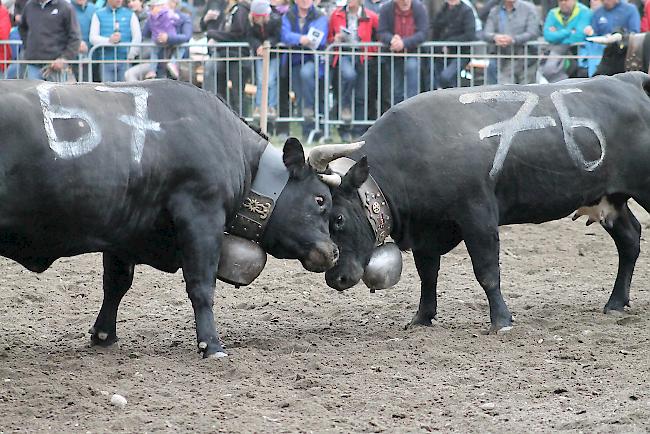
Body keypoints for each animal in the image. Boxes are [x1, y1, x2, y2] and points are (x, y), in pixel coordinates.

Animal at [0, 79, 360, 358]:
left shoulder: (121, 233)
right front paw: (211, 345)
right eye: (320, 200)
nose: (332, 251)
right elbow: (201, 285)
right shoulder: (201, 216)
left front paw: (104, 335)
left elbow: (116, 283)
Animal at [322, 72, 648, 332]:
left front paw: (501, 321)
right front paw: (421, 319)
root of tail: (629, 80)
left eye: (338, 218)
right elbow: (428, 275)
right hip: (611, 200)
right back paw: (615, 302)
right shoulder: (427, 230)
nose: (334, 277)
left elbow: (487, 272)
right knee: (630, 239)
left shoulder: (478, 216)